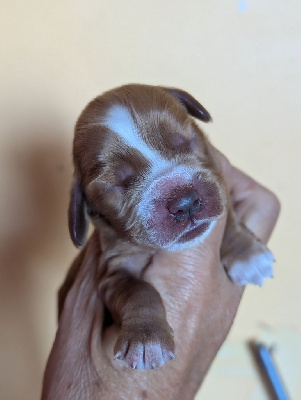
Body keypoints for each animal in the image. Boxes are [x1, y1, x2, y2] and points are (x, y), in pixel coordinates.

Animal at [58, 83, 272, 368]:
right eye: (119, 183)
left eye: (185, 140)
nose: (185, 202)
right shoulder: (114, 269)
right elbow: (139, 290)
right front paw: (147, 339)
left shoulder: (219, 180)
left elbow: (228, 215)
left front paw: (248, 254)